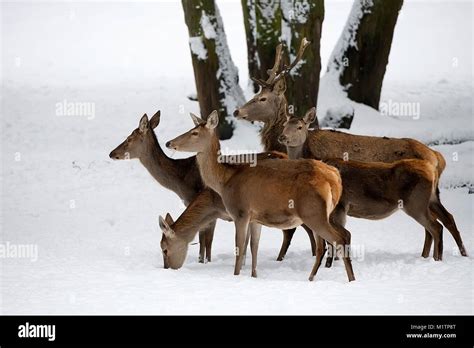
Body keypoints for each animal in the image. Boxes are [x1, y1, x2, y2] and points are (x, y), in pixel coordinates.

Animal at [165, 110, 354, 282]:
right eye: (191, 129)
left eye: (194, 133)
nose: (168, 142)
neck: (225, 180)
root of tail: (334, 177)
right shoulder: (255, 218)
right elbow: (253, 247)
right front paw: (254, 276)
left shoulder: (240, 212)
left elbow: (240, 247)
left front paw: (236, 276)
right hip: (322, 213)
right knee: (328, 242)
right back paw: (314, 277)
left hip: (313, 212)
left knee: (338, 239)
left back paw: (349, 279)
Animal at [280, 107, 468, 262]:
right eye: (284, 124)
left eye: (300, 127)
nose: (282, 136)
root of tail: (437, 157)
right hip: (433, 196)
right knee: (447, 218)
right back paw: (455, 253)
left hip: (418, 201)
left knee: (435, 225)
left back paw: (435, 256)